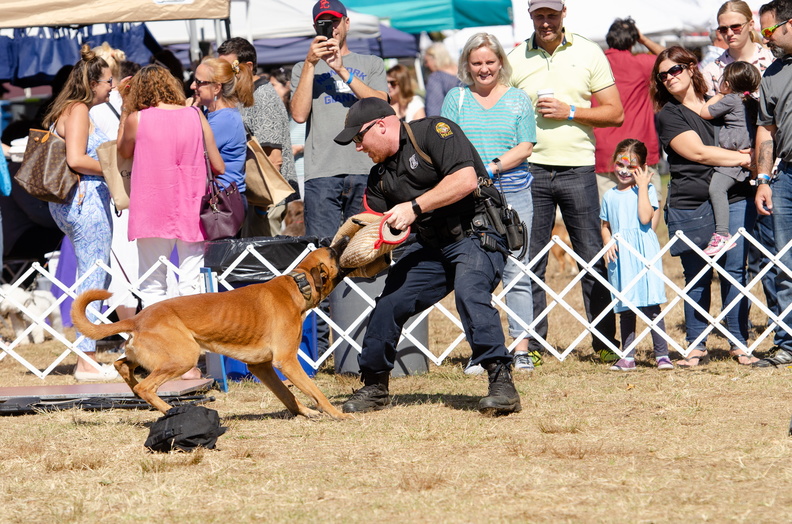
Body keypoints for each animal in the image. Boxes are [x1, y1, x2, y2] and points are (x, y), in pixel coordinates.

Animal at [70, 239, 350, 420]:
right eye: (333, 252)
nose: (345, 237)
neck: (298, 284)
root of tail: (138, 318)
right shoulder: (287, 361)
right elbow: (316, 392)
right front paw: (337, 414)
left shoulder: (262, 367)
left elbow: (287, 395)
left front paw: (306, 412)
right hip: (184, 356)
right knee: (144, 388)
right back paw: (168, 410)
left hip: (154, 356)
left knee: (123, 366)